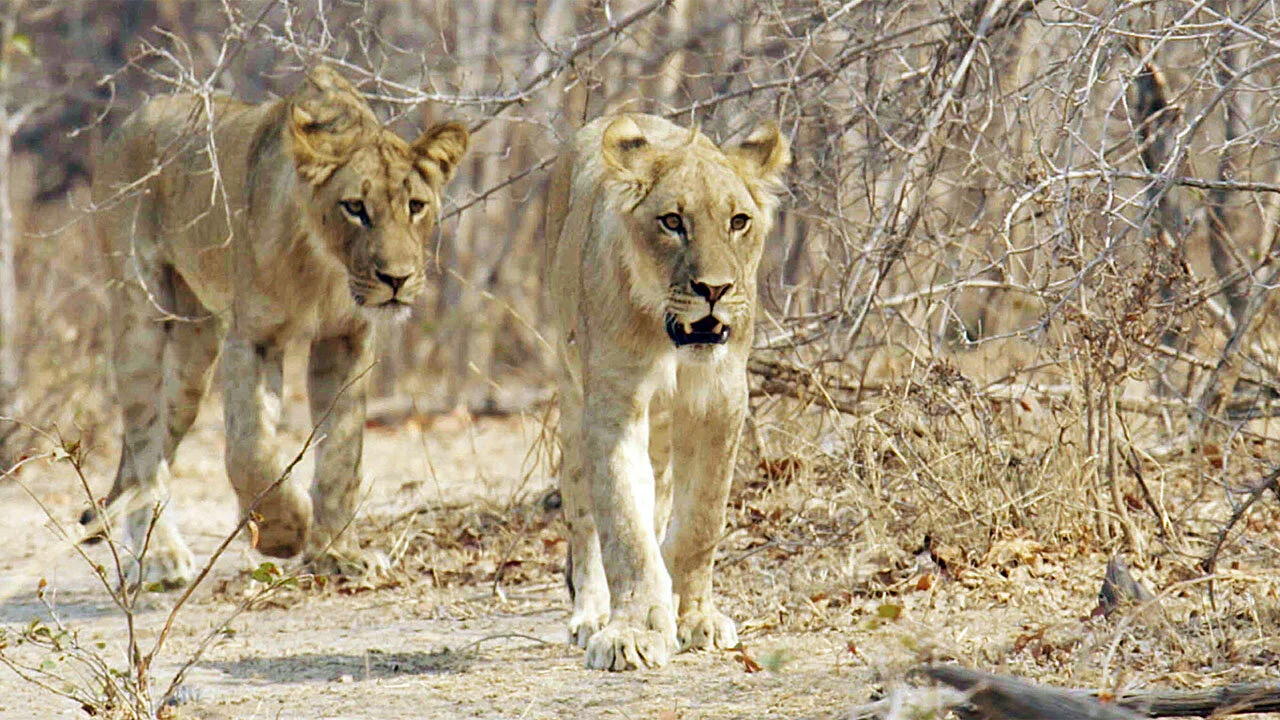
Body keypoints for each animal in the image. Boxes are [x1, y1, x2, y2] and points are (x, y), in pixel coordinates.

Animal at [88, 66, 469, 589]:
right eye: (355, 207)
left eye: (415, 205)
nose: (396, 279)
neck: (325, 267)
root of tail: (126, 122)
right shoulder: (253, 337)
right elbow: (252, 450)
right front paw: (282, 533)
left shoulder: (346, 339)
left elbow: (341, 456)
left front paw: (337, 553)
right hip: (140, 311)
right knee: (145, 445)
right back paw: (163, 557)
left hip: (193, 352)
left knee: (155, 443)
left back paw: (143, 552)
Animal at [544, 113, 790, 670]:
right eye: (673, 221)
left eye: (738, 221)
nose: (715, 290)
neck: (667, 341)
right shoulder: (612, 402)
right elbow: (624, 526)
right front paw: (630, 632)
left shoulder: (721, 399)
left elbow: (702, 520)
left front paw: (693, 616)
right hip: (571, 399)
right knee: (583, 516)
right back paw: (591, 615)